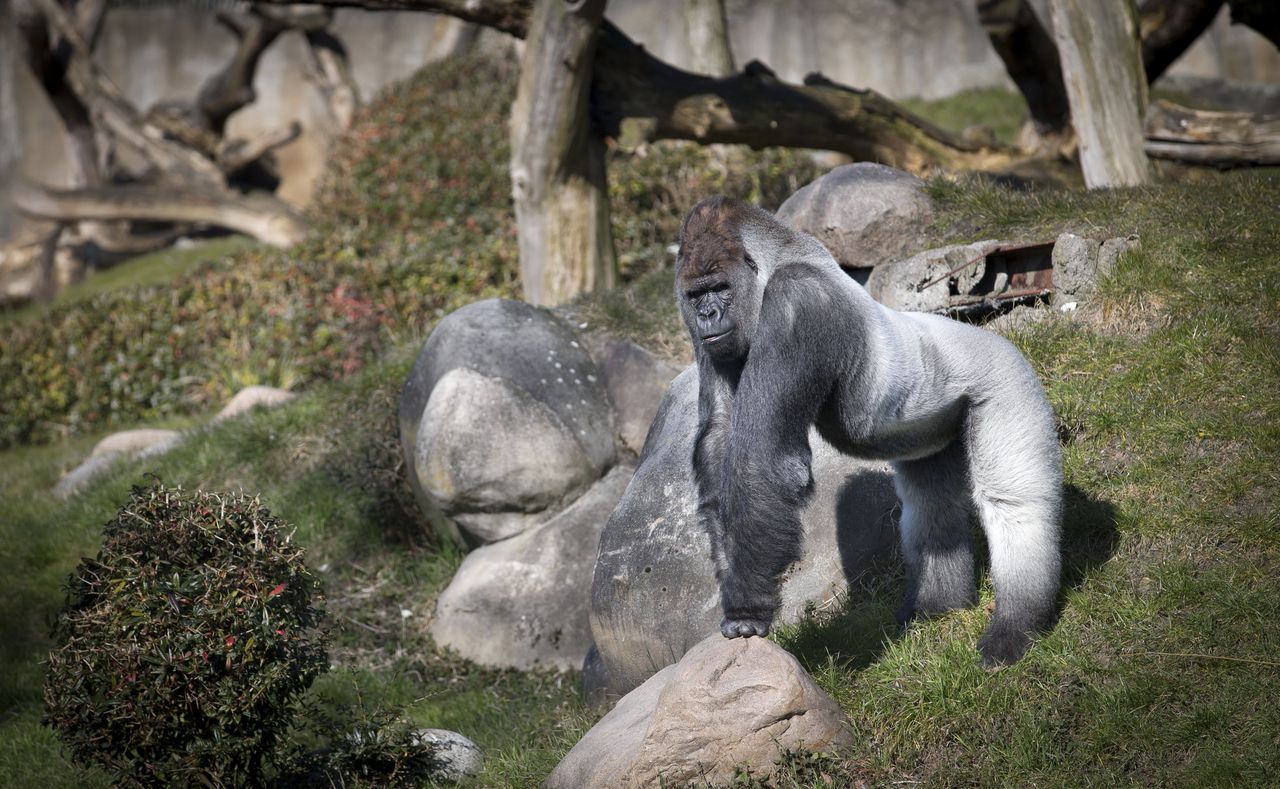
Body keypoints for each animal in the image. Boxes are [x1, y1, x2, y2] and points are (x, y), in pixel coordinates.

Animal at [680, 197, 1059, 666]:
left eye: (720, 289)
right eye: (695, 295)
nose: (707, 314)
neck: (776, 261)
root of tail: (1002, 340)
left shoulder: (797, 302)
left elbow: (764, 462)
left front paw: (746, 609)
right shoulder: (712, 340)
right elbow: (718, 439)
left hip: (1008, 380)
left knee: (1013, 502)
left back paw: (1016, 626)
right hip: (934, 428)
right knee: (929, 502)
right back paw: (938, 607)